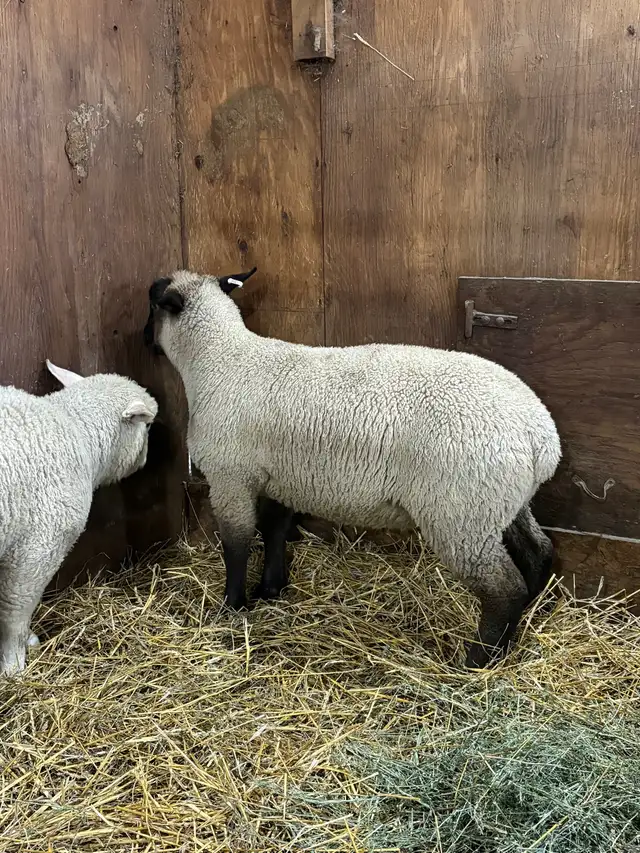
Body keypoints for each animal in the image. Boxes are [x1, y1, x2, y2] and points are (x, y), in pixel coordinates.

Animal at [0, 361, 158, 676]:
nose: (146, 459)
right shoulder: (38, 547)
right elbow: (15, 610)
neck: (76, 428)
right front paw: (14, 663)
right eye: (146, 425)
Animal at [144, 269, 561, 668]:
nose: (144, 339)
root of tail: (541, 437)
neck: (220, 361)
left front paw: (232, 606)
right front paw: (270, 589)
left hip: (460, 513)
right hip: (499, 503)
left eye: (152, 302)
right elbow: (275, 530)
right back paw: (524, 625)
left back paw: (476, 661)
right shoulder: (281, 476)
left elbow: (237, 544)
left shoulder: (229, 477)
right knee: (539, 552)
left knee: (503, 589)